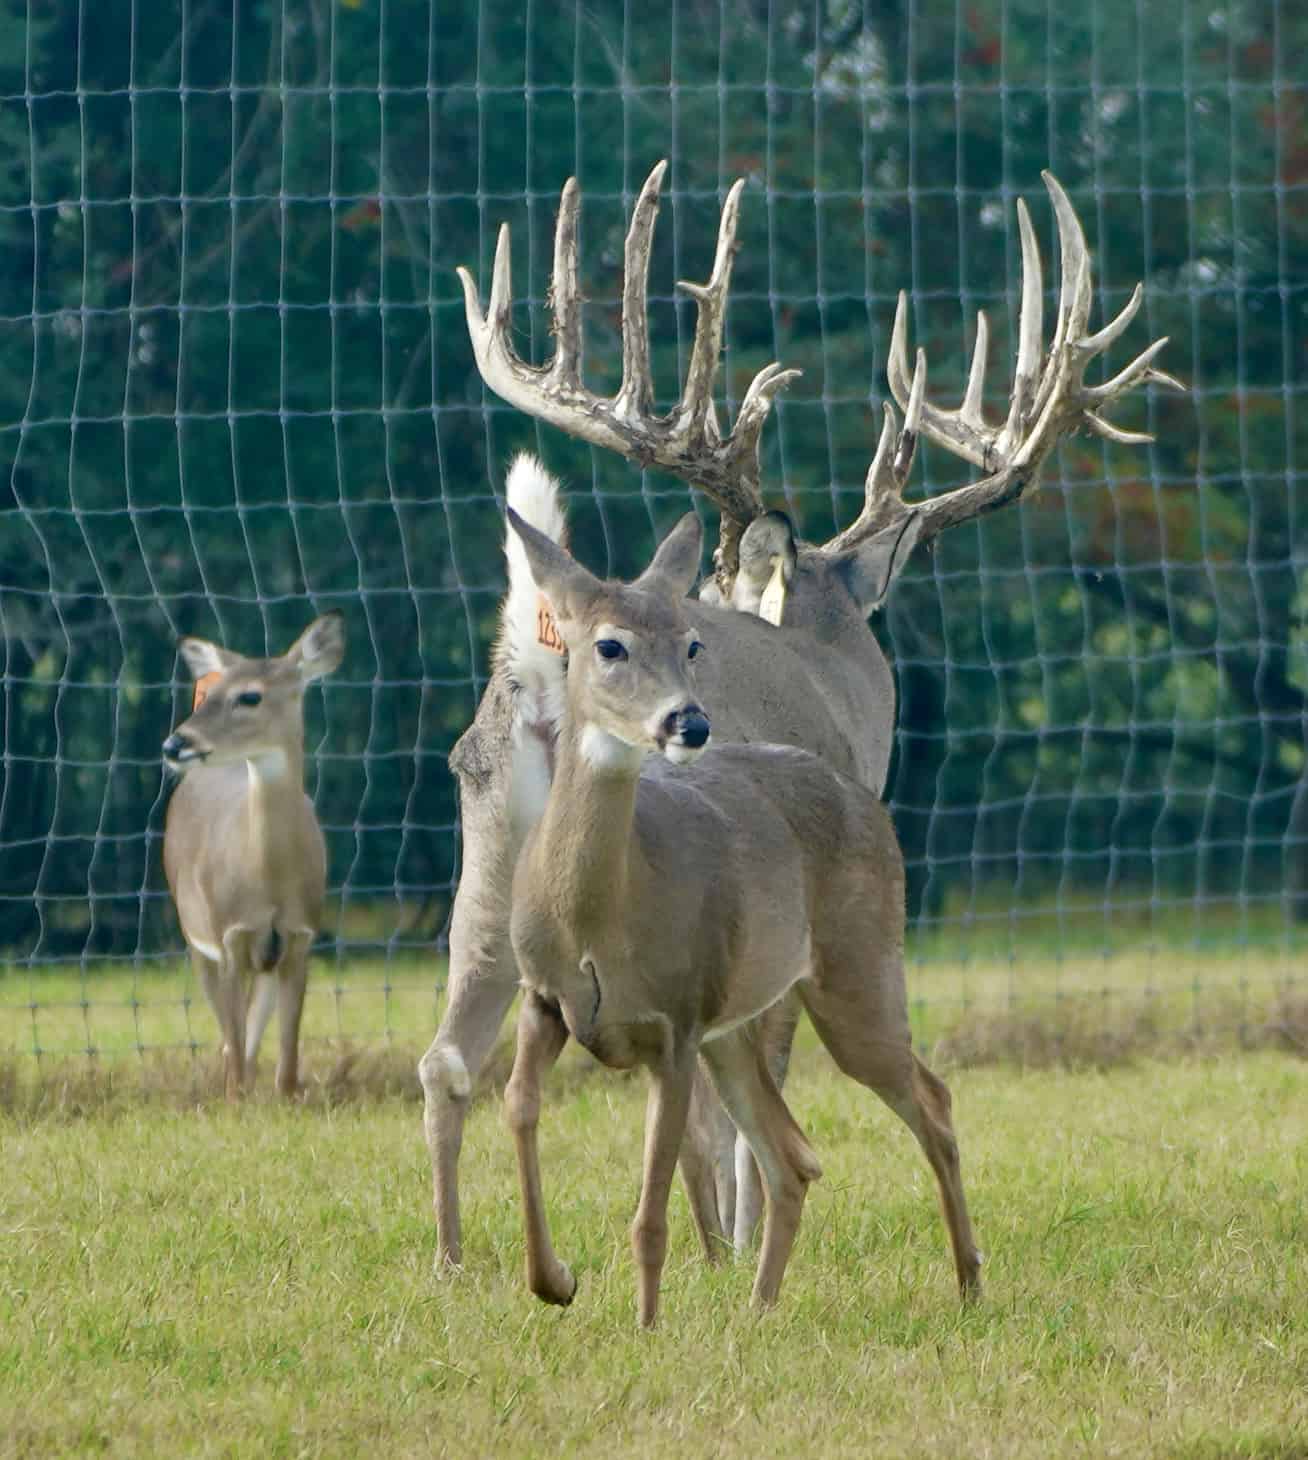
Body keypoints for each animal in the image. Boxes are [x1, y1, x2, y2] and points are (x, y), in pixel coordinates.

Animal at [162, 612, 346, 1100]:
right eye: (211, 694)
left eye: (249, 696)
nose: (175, 744)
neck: (269, 878)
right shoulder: (227, 933)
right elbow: (234, 1040)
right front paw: (235, 1100)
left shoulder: (300, 934)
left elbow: (286, 1054)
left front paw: (286, 1097)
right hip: (192, 932)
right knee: (230, 1036)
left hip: (263, 957)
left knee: (250, 1029)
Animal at [419, 159, 1181, 1268]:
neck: (829, 673)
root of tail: (537, 663)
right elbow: (752, 1084)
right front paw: (744, 1235)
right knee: (684, 1095)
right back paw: (703, 1246)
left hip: (486, 863)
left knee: (445, 1059)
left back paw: (453, 1260)